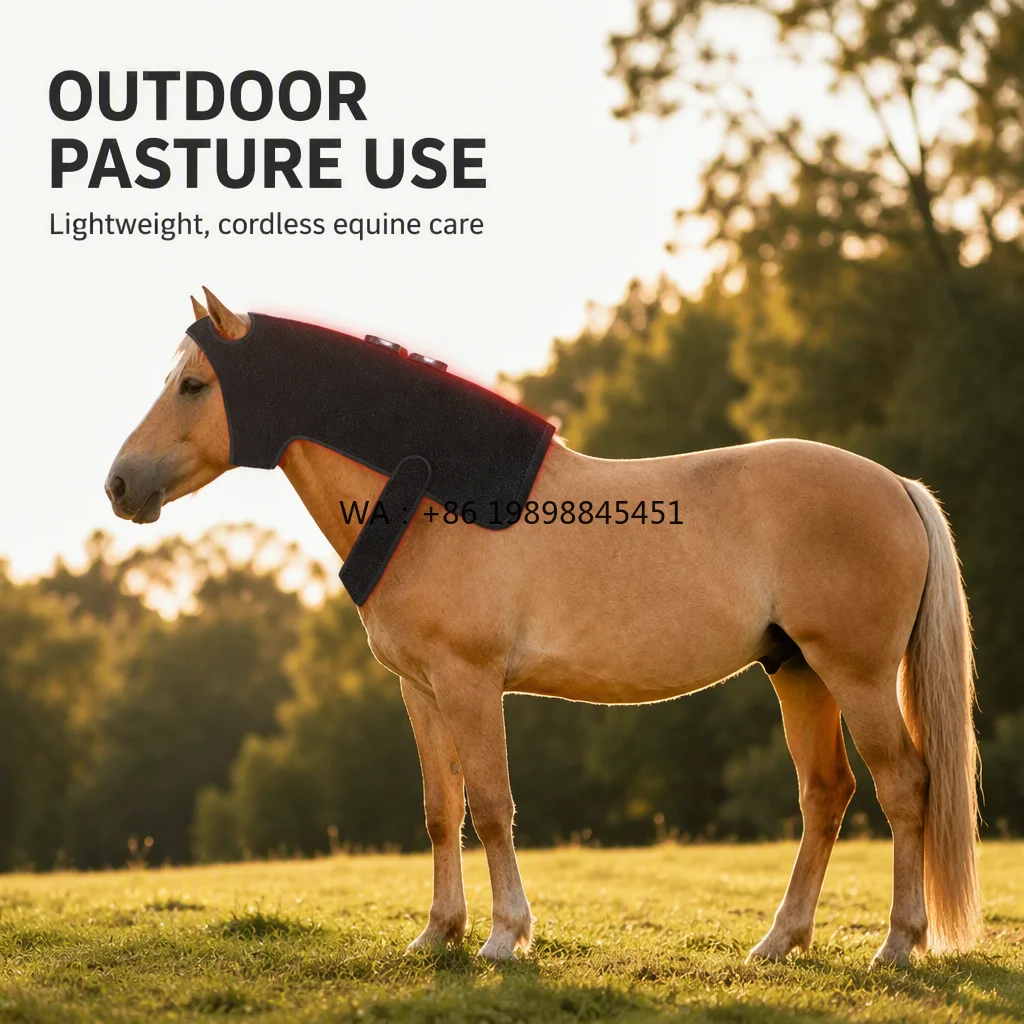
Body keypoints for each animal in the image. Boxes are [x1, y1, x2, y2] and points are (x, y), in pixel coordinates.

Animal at [104, 287, 980, 966]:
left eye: (193, 385)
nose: (118, 485)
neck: (431, 498)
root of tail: (898, 487)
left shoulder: (470, 682)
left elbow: (492, 805)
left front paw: (504, 937)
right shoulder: (421, 691)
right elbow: (441, 811)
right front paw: (438, 935)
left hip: (855, 675)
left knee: (905, 786)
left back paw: (898, 944)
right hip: (798, 672)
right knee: (826, 794)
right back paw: (779, 941)